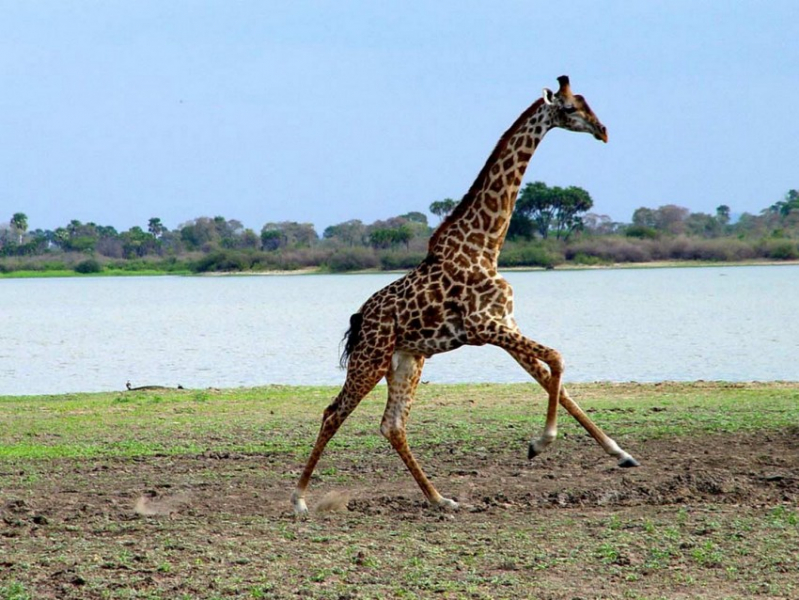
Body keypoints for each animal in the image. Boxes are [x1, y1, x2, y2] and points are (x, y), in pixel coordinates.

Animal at [292, 76, 636, 516]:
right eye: (571, 108)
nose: (603, 131)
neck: (485, 246)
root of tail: (360, 318)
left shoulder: (505, 326)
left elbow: (554, 380)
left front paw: (621, 453)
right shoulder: (484, 326)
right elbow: (558, 359)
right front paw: (539, 444)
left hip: (407, 361)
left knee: (392, 425)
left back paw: (441, 498)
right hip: (371, 359)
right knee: (333, 413)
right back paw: (299, 499)